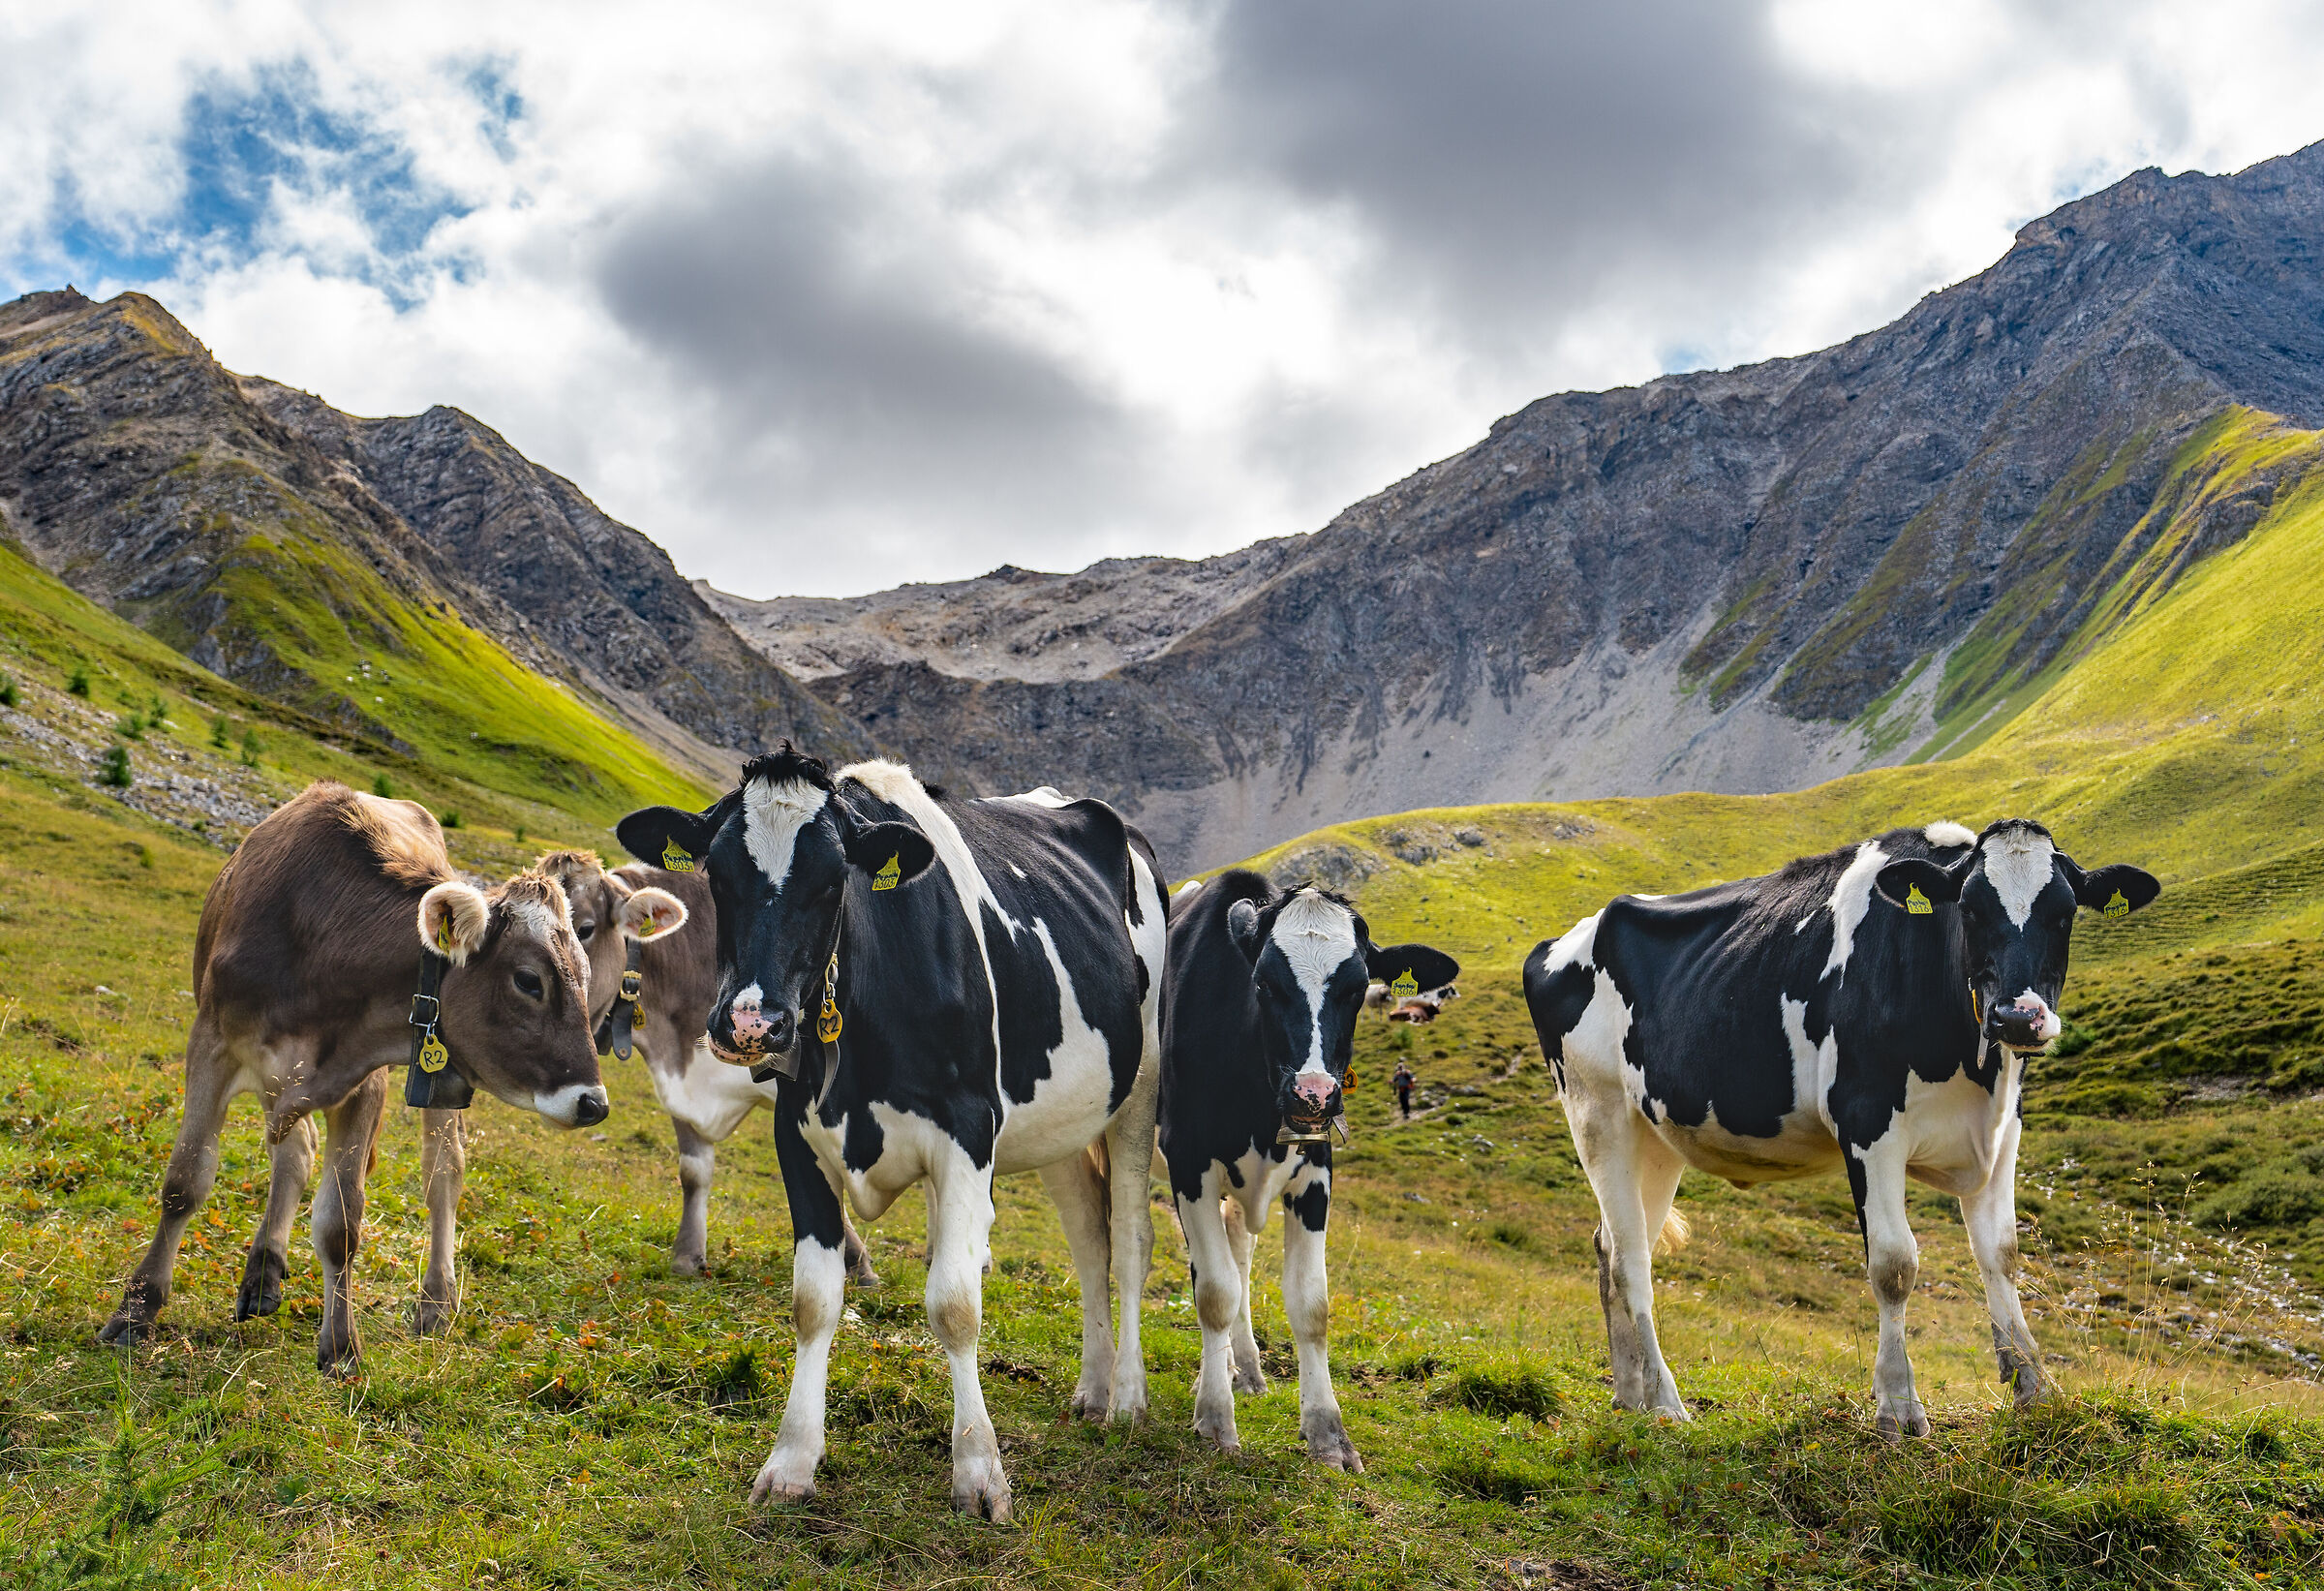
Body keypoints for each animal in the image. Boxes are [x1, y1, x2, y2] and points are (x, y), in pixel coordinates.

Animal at [98, 782, 619, 1374]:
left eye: (585, 975)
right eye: (529, 981)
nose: (593, 1103)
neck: (320, 945)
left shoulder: (364, 1082)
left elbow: (340, 1222)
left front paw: (342, 1345)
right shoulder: (213, 1046)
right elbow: (185, 1182)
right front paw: (135, 1312)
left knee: (442, 1172)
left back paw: (436, 1301)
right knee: (296, 1149)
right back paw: (263, 1270)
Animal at [614, 748, 1169, 1521]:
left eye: (831, 880)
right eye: (717, 874)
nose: (753, 1024)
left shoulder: (968, 1131)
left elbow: (955, 1303)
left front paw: (979, 1471)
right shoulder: (798, 1137)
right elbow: (813, 1302)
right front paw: (791, 1461)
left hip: (1139, 1088)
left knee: (1130, 1241)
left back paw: (1126, 1399)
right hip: (1060, 1113)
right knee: (1090, 1239)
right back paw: (1091, 1389)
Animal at [1160, 871, 1458, 1470]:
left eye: (1357, 988)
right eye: (1264, 984)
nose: (1313, 1094)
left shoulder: (1316, 1171)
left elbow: (1311, 1303)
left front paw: (1328, 1433)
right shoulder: (1187, 1163)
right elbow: (1214, 1293)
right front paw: (1215, 1419)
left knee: (1240, 1254)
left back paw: (1245, 1369)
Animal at [1522, 819, 2159, 1436]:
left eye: (2066, 912)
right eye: (1971, 908)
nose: (2018, 1017)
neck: (1971, 1064)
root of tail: (1565, 939)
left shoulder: (2002, 1132)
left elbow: (2001, 1254)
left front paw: (2033, 1388)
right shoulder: (1866, 1121)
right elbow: (1895, 1264)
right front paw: (1897, 1407)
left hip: (1656, 1137)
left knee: (1612, 1246)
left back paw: (1629, 1395)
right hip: (1598, 1113)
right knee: (1630, 1261)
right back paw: (1665, 1402)